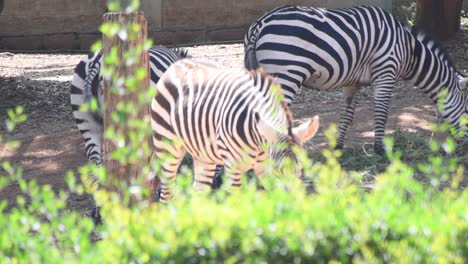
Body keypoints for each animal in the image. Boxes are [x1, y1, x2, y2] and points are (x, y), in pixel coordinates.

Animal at [152, 58, 320, 201]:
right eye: (277, 170)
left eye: (299, 171)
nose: (291, 201)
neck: (258, 142)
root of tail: (177, 64)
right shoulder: (233, 168)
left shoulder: (263, 168)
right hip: (167, 146)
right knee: (167, 192)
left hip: (203, 154)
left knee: (198, 191)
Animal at [243, 5, 466, 154]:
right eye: (467, 111)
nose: (464, 146)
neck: (408, 50)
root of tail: (259, 24)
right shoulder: (385, 71)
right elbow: (382, 112)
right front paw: (379, 149)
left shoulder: (353, 82)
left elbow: (347, 114)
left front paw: (338, 147)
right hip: (285, 74)